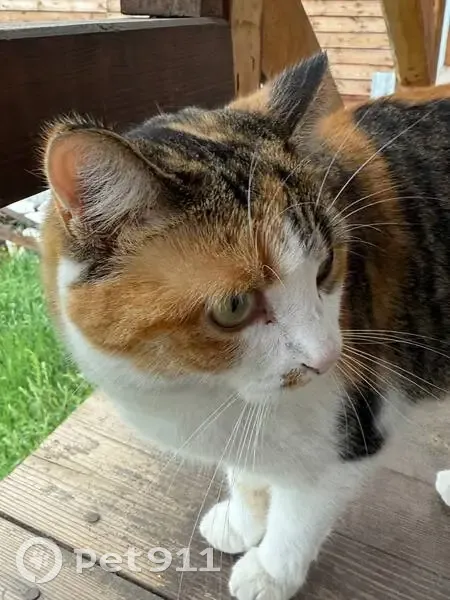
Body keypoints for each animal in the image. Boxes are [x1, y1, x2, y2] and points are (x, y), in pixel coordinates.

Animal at [41, 53, 449, 600]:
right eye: (235, 306)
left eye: (326, 266)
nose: (326, 358)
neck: (205, 389)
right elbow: (249, 472)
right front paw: (242, 518)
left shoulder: (357, 422)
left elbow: (301, 513)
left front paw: (270, 570)